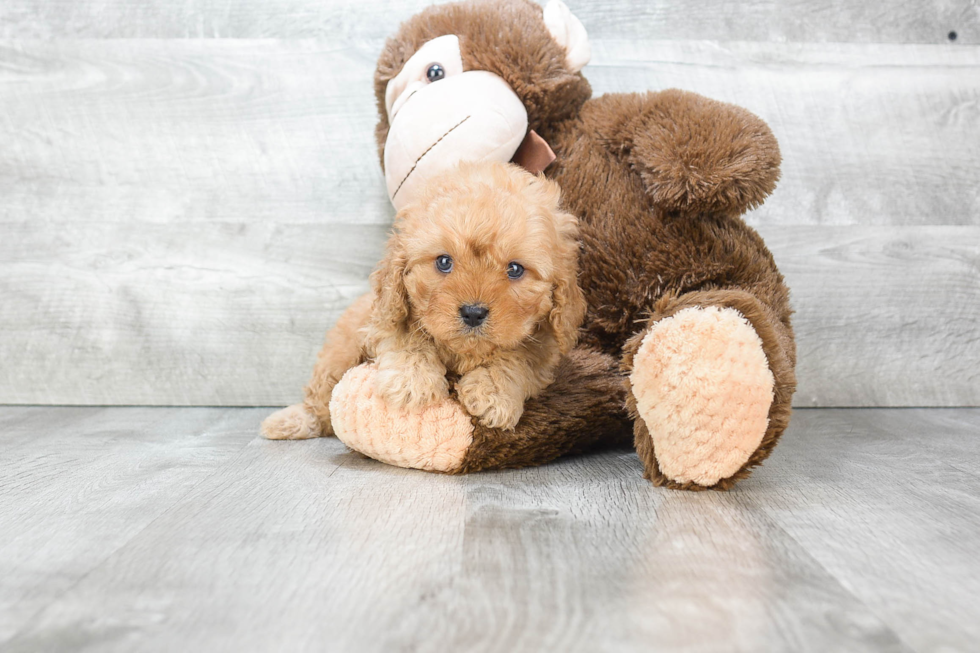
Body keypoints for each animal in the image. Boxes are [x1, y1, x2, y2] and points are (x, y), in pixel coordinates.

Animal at [260, 160, 584, 440]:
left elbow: (517, 359)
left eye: (515, 269)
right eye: (444, 262)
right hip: (340, 352)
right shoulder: (386, 316)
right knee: (320, 399)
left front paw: (493, 393)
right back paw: (290, 421)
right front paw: (411, 383)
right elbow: (406, 336)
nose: (473, 313)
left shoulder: (544, 347)